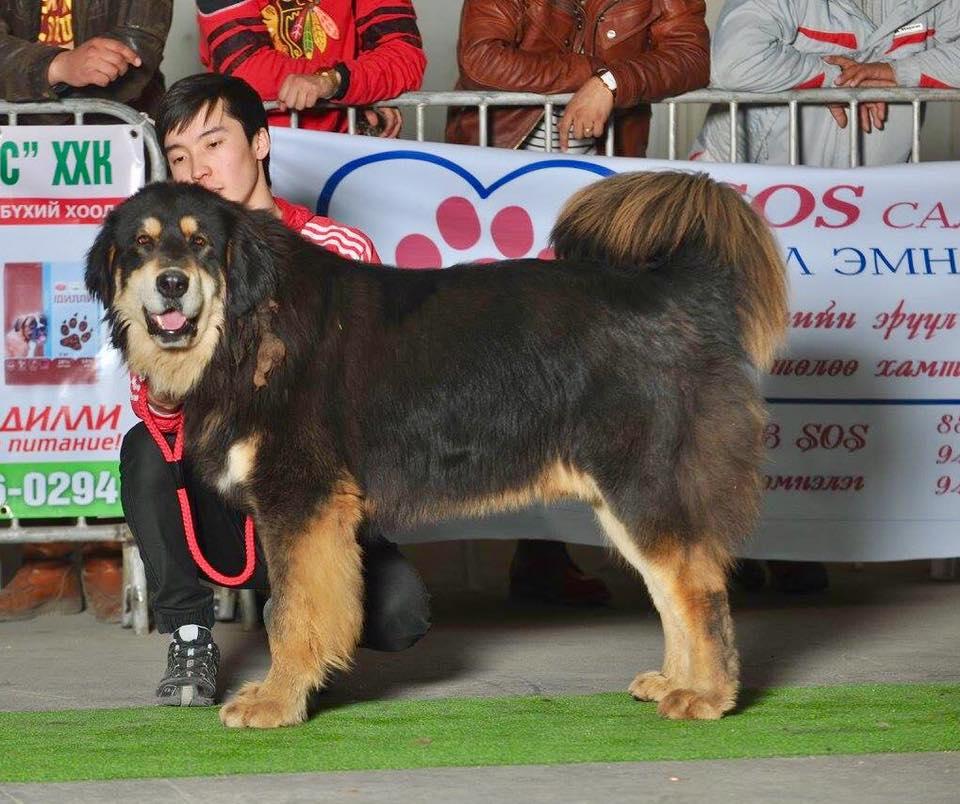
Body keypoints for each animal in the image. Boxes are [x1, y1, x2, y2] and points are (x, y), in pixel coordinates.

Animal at [84, 174, 788, 728]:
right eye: (142, 244)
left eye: (201, 242)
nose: (171, 283)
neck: (250, 326)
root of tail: (672, 292)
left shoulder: (302, 498)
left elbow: (291, 611)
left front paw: (277, 702)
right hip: (623, 496)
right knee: (671, 588)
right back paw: (675, 682)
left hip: (639, 482)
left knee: (698, 586)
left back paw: (707, 695)